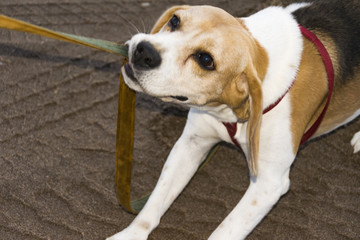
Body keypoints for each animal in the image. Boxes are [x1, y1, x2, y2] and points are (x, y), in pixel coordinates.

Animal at [107, 0, 360, 239]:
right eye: (175, 20)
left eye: (205, 59)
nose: (144, 51)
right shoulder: (191, 144)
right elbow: (155, 201)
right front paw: (131, 234)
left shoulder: (268, 184)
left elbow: (223, 231)